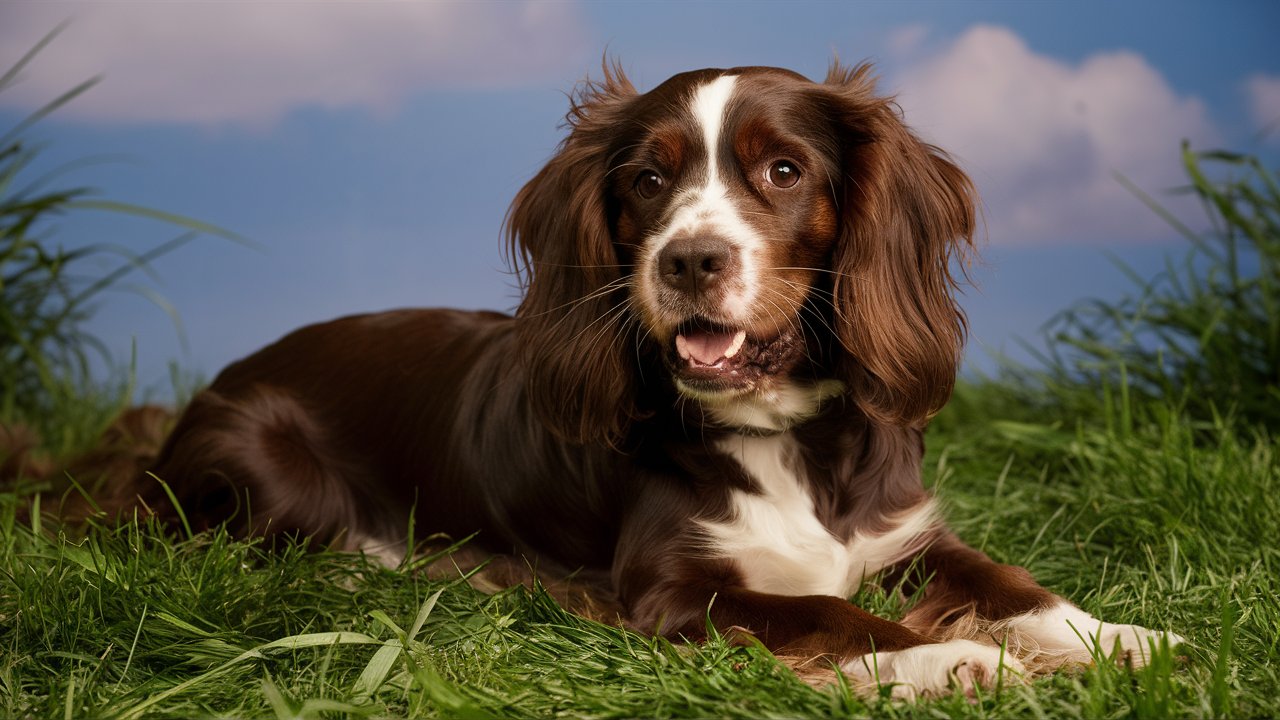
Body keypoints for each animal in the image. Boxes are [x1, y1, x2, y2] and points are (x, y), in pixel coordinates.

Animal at [127, 65, 1177, 696]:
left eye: (784, 170)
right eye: (646, 180)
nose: (689, 261)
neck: (784, 438)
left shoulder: (904, 536)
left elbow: (1013, 583)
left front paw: (1124, 639)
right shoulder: (673, 590)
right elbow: (833, 613)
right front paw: (957, 658)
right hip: (266, 465)